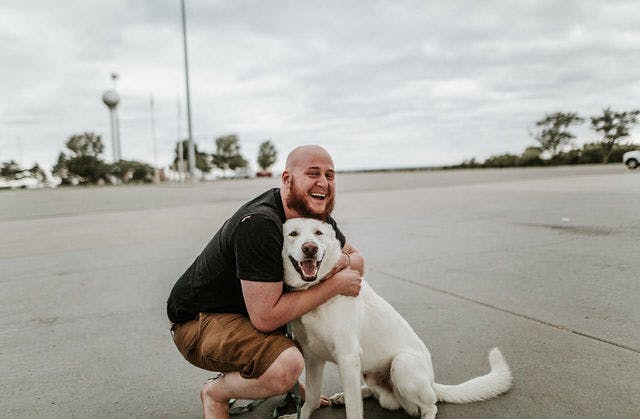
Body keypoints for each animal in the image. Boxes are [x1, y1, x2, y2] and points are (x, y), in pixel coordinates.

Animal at [278, 218, 510, 419]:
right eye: (293, 234)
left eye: (318, 233)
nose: (310, 248)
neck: (318, 292)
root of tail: (432, 383)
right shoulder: (312, 357)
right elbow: (312, 396)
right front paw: (299, 416)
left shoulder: (348, 357)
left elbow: (354, 410)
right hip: (369, 373)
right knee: (373, 393)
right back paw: (345, 396)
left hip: (402, 365)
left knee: (431, 406)